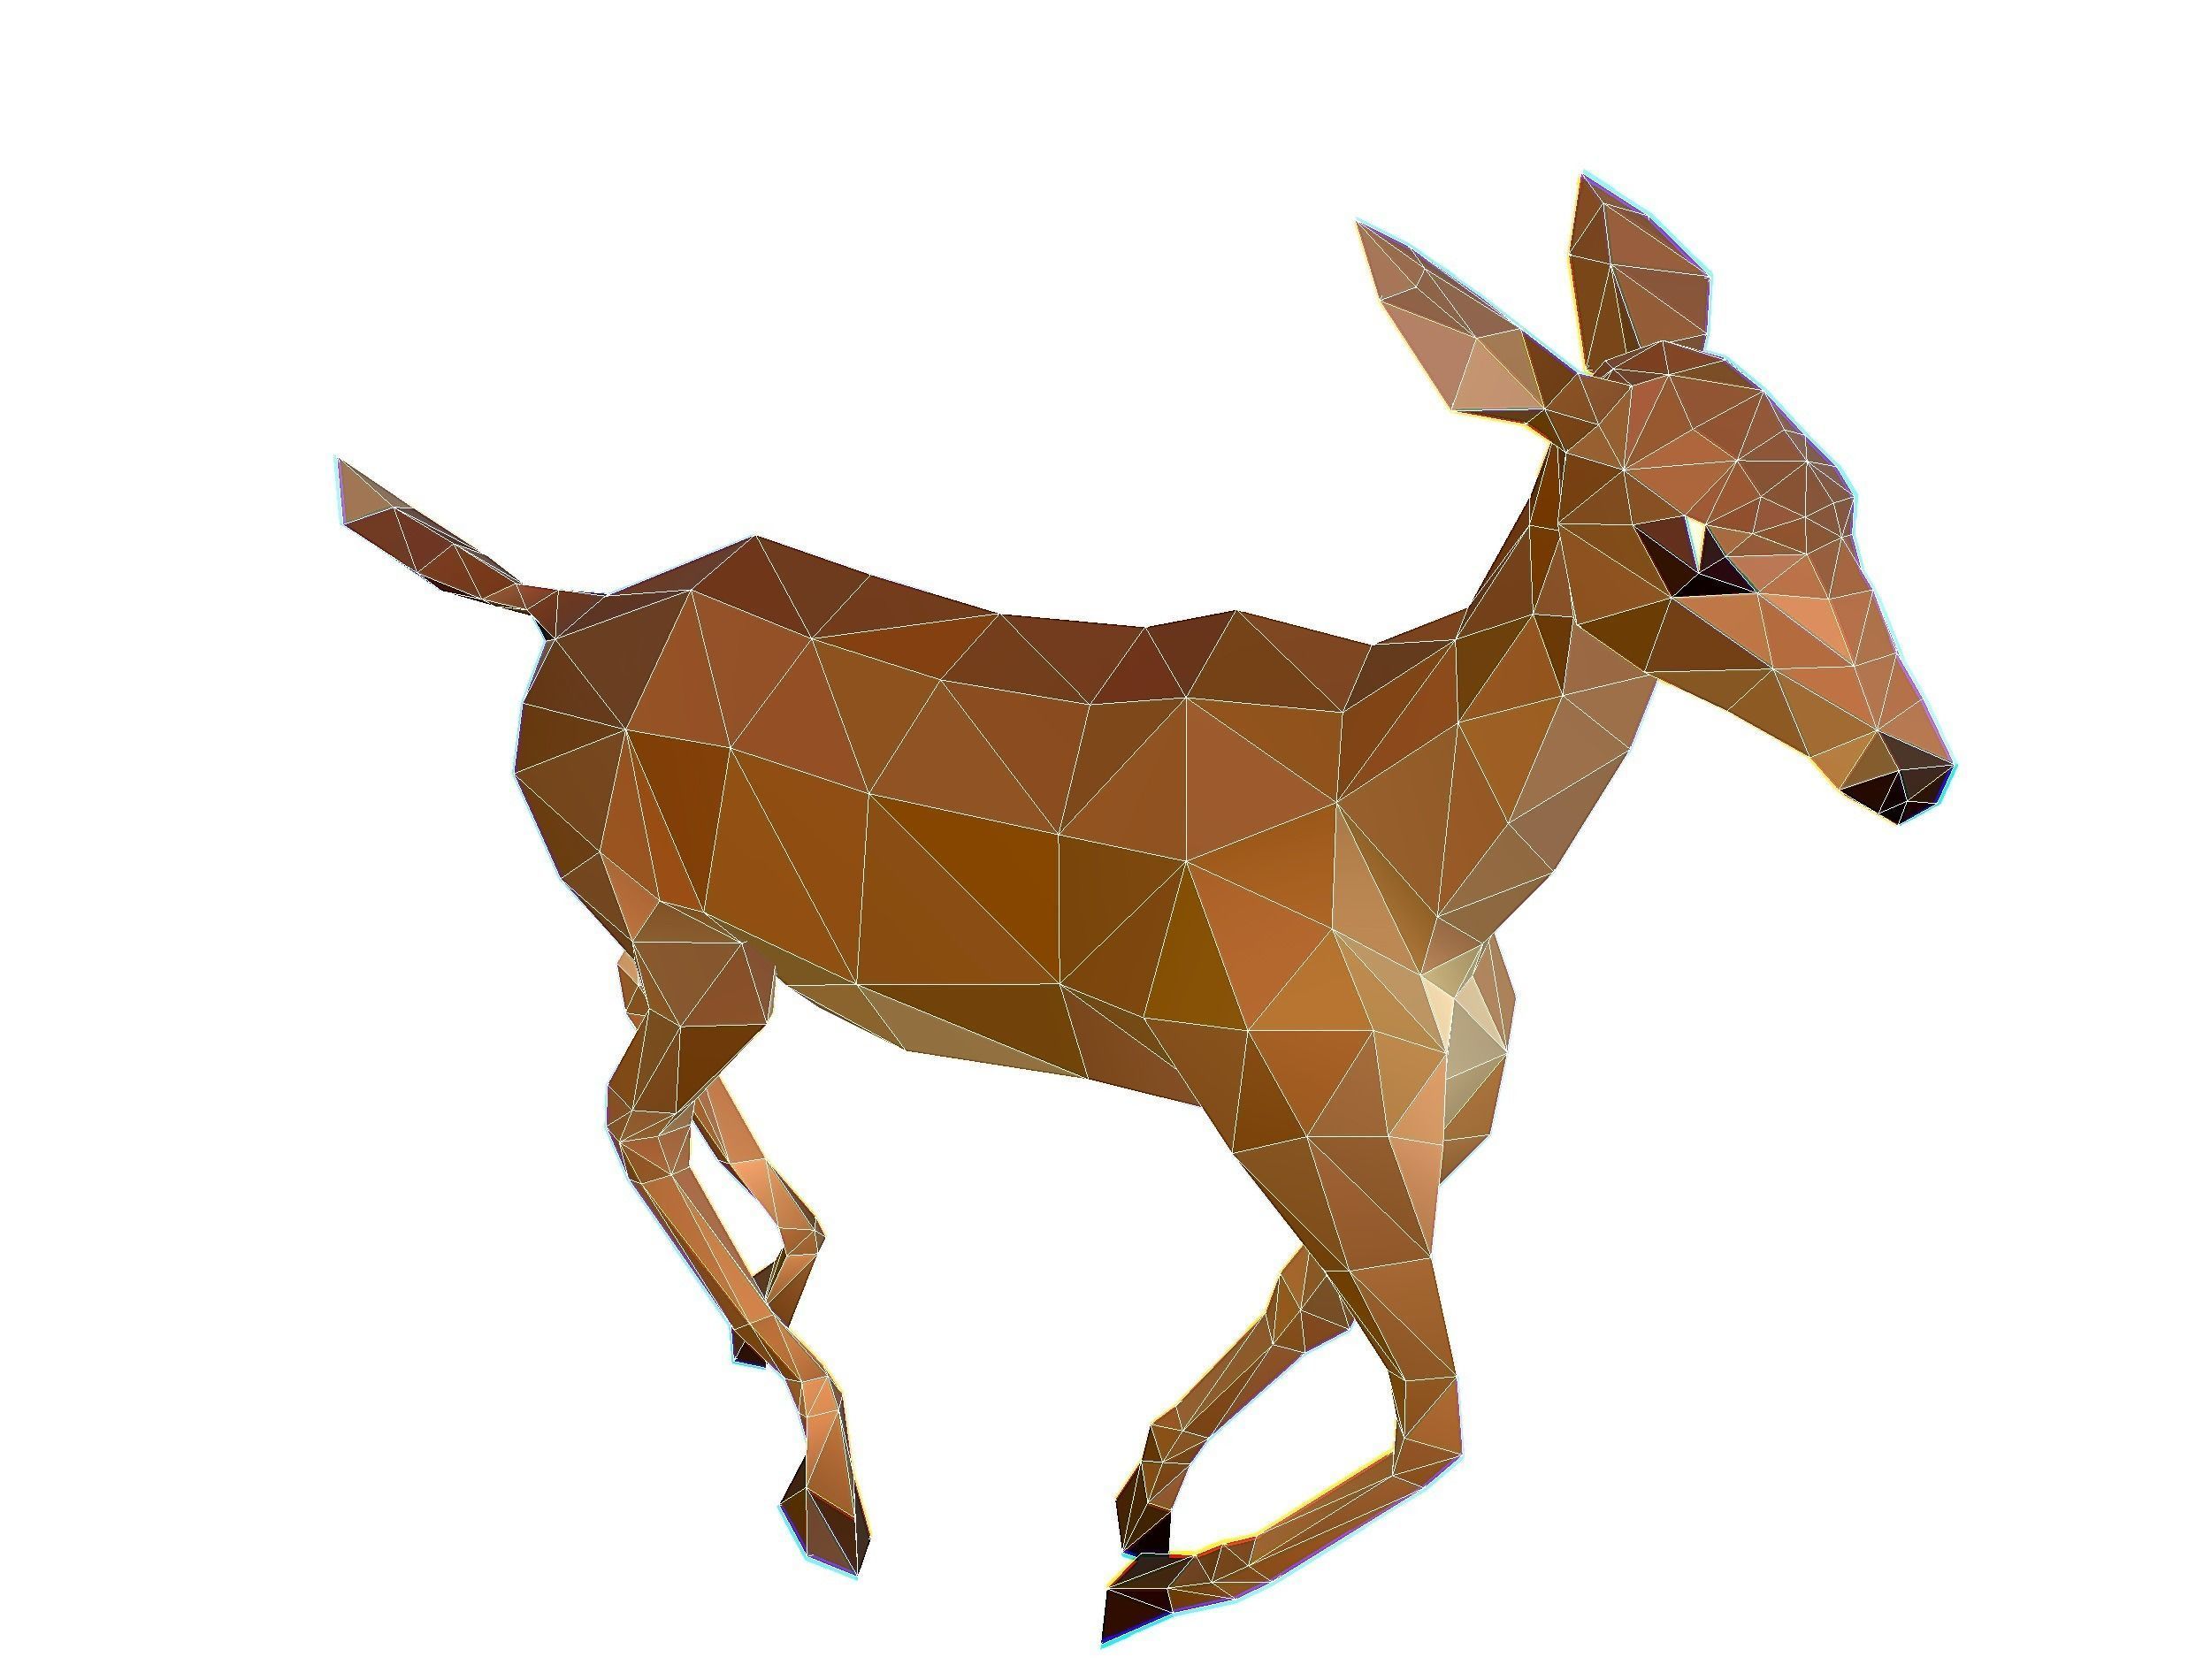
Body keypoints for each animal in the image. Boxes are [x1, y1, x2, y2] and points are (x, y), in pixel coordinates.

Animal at [337, 176, 1952, 1644]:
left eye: (1840, 490)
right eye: (1694, 549)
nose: (1912, 773)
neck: (1412, 853)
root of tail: (557, 611)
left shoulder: (1410, 1127)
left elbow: (1312, 1310)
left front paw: (1145, 1497)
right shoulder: (1289, 1105)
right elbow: (1435, 1414)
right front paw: (1152, 1583)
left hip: (692, 942)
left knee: (653, 1078)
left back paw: (783, 1286)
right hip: (697, 948)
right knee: (631, 1118)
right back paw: (832, 1486)